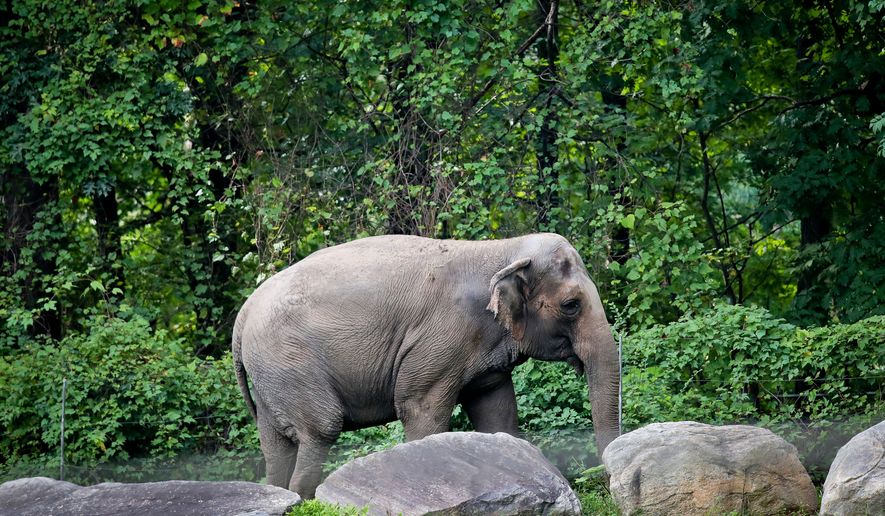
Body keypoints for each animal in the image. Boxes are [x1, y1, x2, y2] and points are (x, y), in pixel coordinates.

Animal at [232, 233, 620, 498]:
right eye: (571, 305)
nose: (604, 480)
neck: (502, 249)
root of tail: (244, 313)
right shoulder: (440, 340)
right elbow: (421, 410)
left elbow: (498, 415)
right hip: (290, 362)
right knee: (320, 430)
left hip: (270, 375)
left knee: (275, 445)